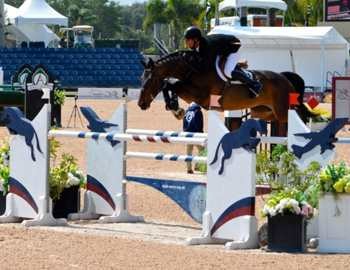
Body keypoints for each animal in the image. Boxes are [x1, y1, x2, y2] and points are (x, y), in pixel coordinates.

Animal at [138, 50, 310, 123]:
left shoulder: (200, 96)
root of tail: (284, 78)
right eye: (141, 79)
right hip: (262, 111)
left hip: (284, 111)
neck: (192, 68)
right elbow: (170, 84)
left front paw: (176, 108)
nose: (141, 104)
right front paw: (175, 108)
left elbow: (170, 84)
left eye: (150, 80)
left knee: (299, 117)